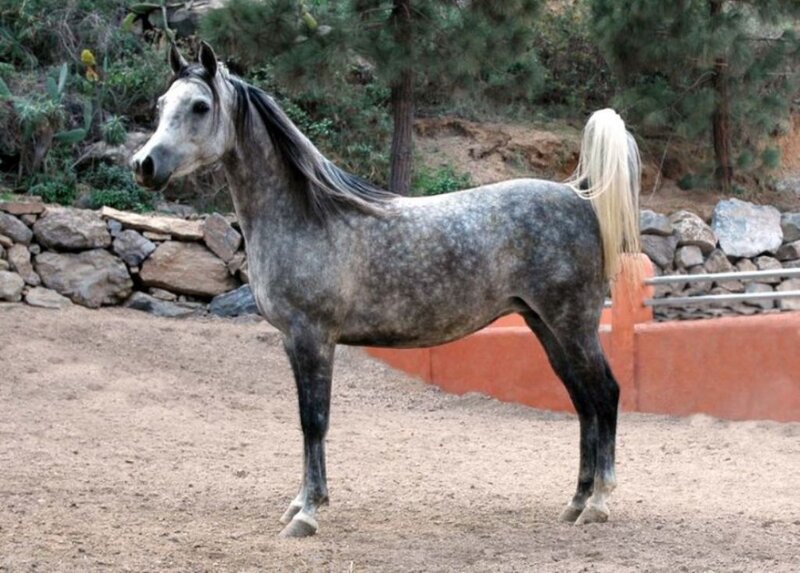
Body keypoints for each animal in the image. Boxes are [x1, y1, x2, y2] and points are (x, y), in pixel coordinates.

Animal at [131, 42, 641, 538]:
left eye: (200, 106)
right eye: (161, 104)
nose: (143, 164)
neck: (309, 215)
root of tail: (580, 193)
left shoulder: (313, 338)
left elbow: (315, 420)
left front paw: (308, 513)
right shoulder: (292, 342)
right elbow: (304, 422)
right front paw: (300, 502)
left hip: (572, 325)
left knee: (605, 394)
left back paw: (598, 503)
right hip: (545, 326)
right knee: (584, 403)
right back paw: (576, 502)